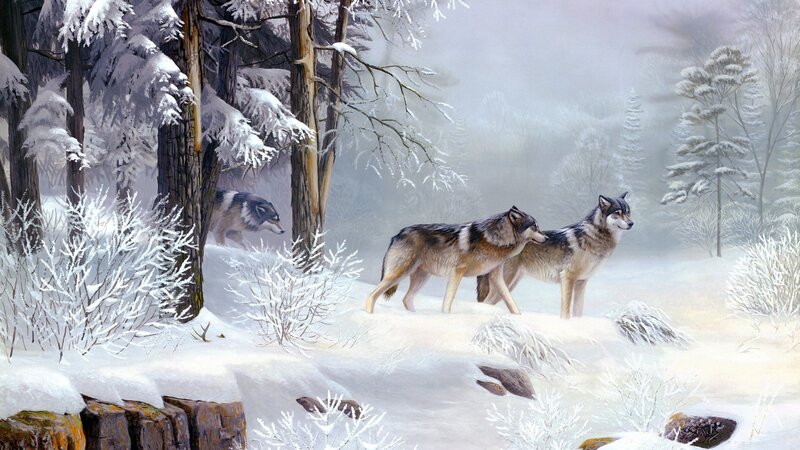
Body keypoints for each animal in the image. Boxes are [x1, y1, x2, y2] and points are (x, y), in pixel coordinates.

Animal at [365, 206, 548, 315]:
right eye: (535, 227)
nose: (546, 238)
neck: (496, 240)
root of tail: (397, 234)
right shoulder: (457, 272)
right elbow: (448, 300)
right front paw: (446, 318)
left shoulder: (495, 276)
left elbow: (510, 301)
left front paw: (519, 318)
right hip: (398, 274)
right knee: (372, 295)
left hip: (421, 277)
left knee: (406, 299)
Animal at [477, 193, 633, 319]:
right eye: (617, 213)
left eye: (628, 212)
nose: (632, 223)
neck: (595, 237)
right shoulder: (568, 278)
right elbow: (565, 312)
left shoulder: (581, 282)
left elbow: (578, 311)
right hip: (505, 283)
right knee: (485, 303)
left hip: (510, 285)